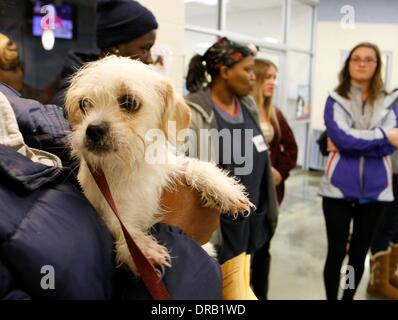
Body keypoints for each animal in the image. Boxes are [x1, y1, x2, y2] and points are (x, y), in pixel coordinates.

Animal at [66, 56, 250, 276]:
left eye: (129, 102)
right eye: (84, 104)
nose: (92, 129)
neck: (132, 164)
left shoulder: (170, 167)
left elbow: (195, 165)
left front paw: (225, 189)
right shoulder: (109, 206)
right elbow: (120, 227)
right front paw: (143, 249)